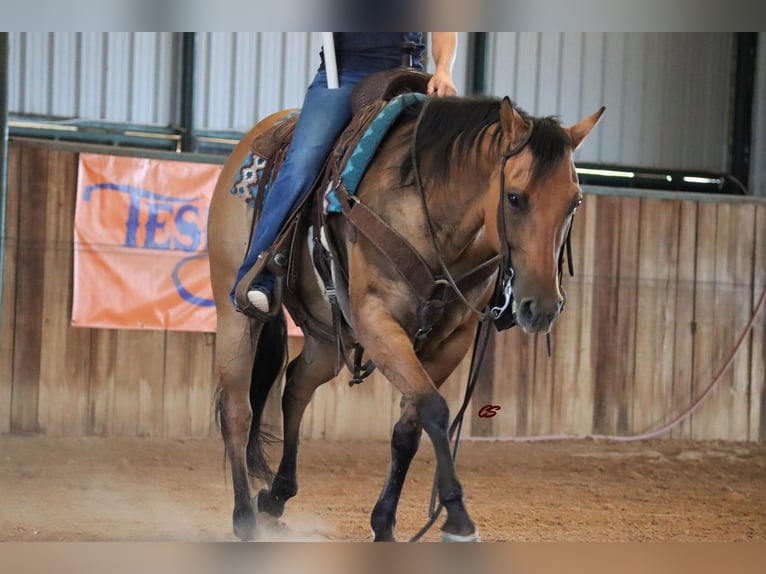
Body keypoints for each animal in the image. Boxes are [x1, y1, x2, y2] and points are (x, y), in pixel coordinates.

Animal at [207, 79, 604, 544]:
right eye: (514, 197)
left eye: (574, 202)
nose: (540, 307)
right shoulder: (378, 323)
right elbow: (434, 409)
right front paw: (457, 517)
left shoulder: (451, 342)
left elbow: (408, 431)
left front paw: (384, 524)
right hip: (236, 314)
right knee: (237, 408)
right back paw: (245, 517)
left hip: (325, 335)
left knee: (296, 385)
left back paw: (276, 496)